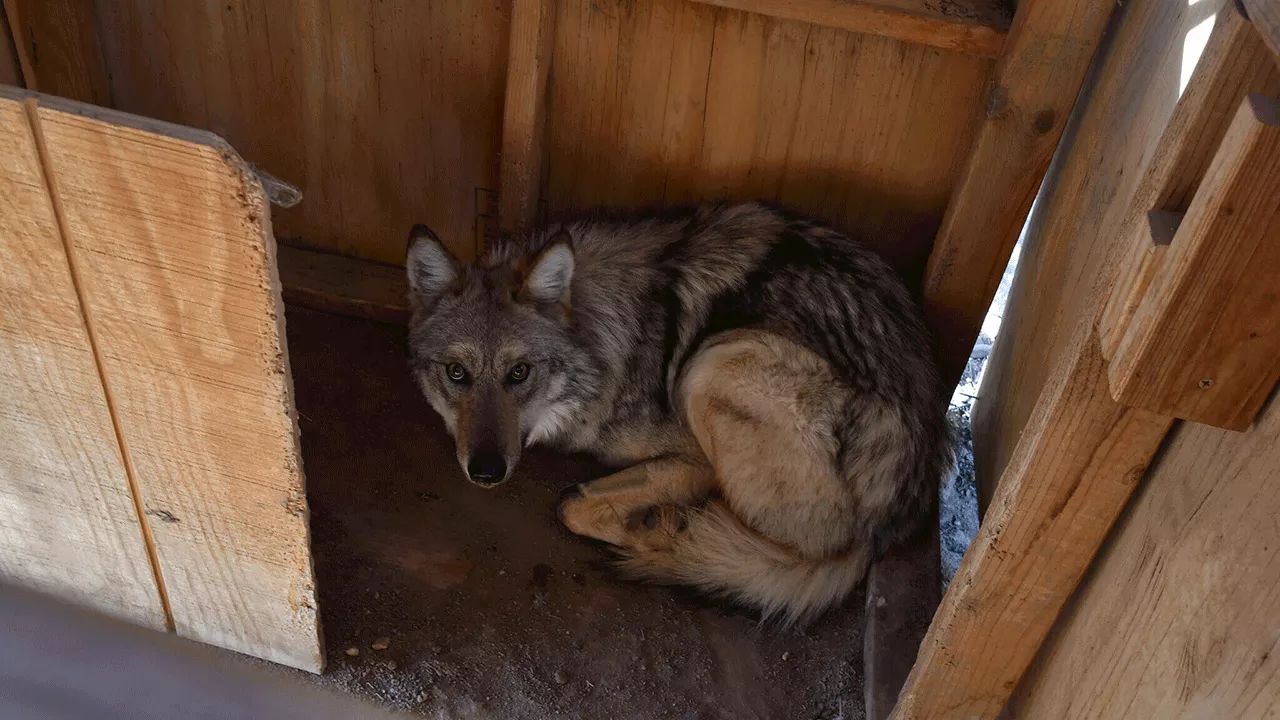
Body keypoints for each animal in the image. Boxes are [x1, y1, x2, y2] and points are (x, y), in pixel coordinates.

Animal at [404, 202, 957, 622]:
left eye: (519, 373)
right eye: (457, 373)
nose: (486, 472)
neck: (605, 339)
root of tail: (883, 529)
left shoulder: (694, 458)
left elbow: (571, 505)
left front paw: (645, 517)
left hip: (712, 366)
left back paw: (666, 530)